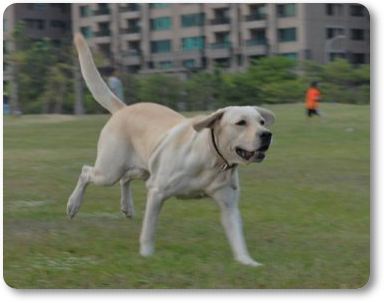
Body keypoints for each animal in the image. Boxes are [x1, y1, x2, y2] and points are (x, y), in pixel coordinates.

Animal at [67, 32, 274, 266]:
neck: (211, 158)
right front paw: (146, 255)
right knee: (86, 172)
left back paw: (127, 207)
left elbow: (237, 237)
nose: (267, 135)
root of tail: (123, 109)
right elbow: (148, 230)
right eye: (241, 123)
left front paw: (247, 262)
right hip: (109, 170)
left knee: (125, 178)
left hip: (143, 168)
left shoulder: (228, 204)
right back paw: (73, 204)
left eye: (261, 122)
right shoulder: (157, 191)